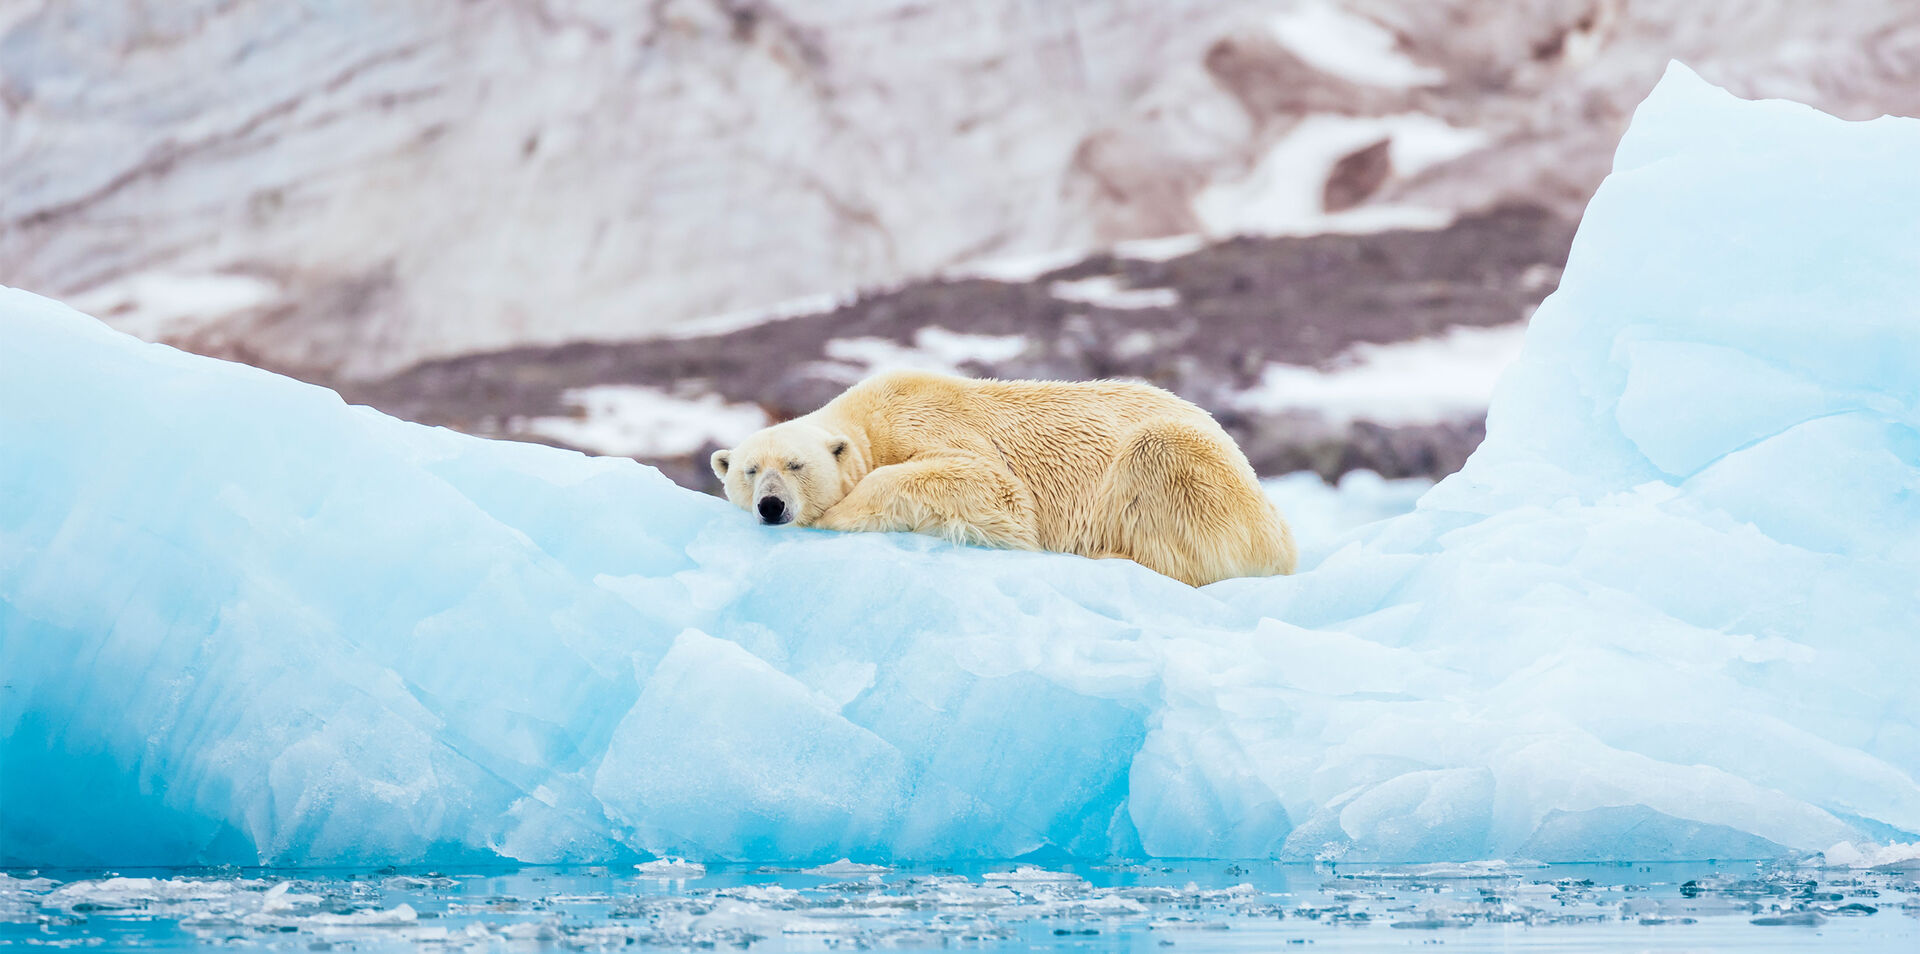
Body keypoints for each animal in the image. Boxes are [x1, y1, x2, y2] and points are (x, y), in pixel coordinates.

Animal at [714, 368, 1297, 583]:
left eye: (795, 465)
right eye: (749, 470)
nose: (772, 505)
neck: (871, 416)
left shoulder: (930, 422)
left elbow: (993, 489)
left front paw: (836, 514)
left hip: (1198, 472)